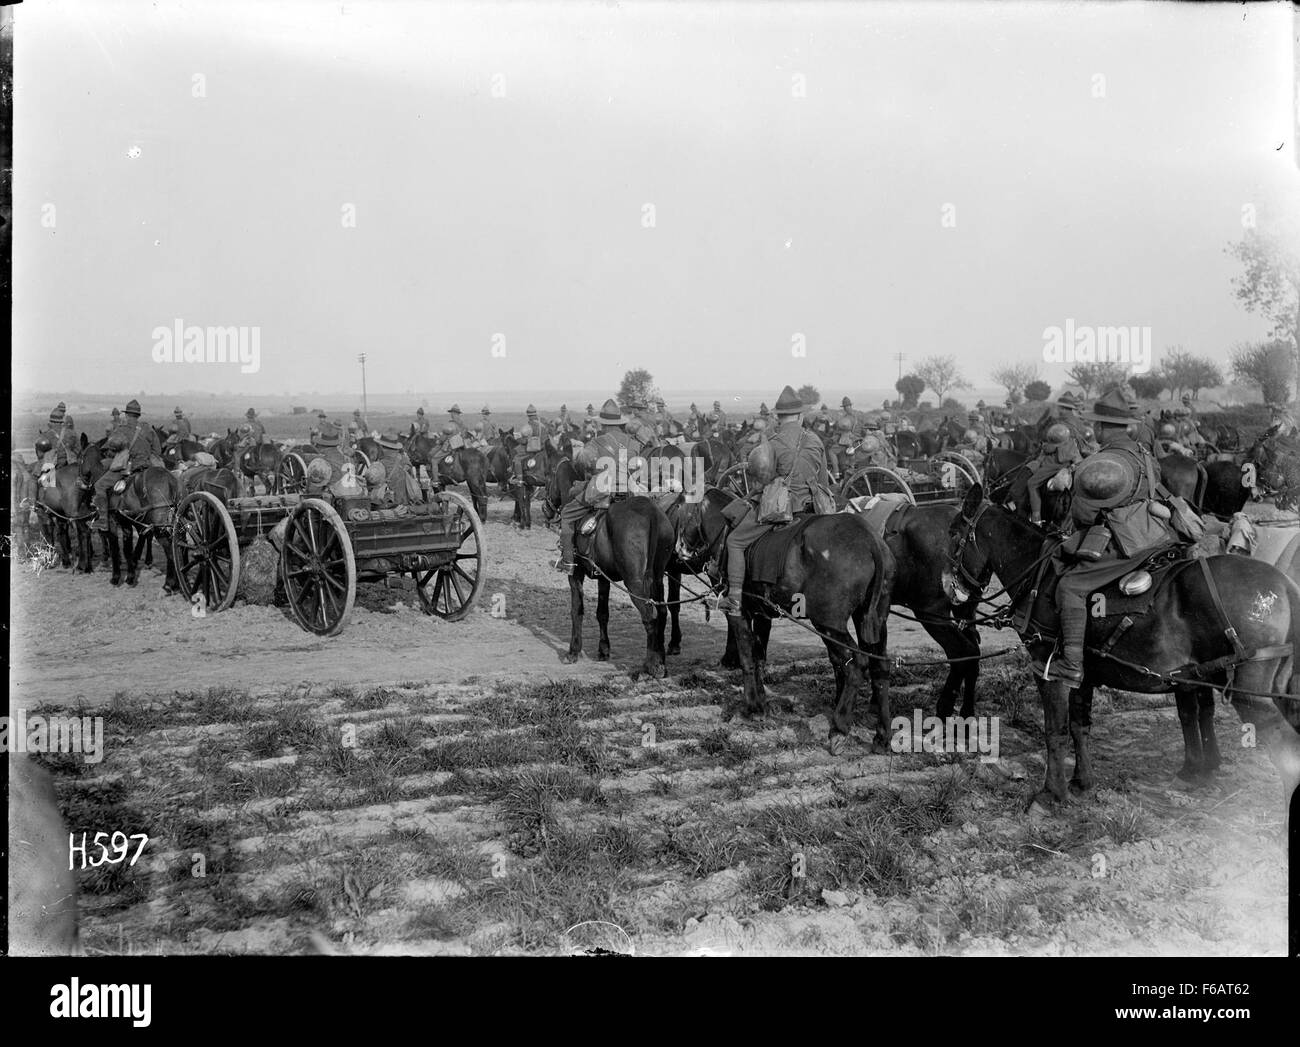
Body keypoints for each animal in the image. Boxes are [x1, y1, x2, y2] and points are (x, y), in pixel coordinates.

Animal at [543, 457, 676, 676]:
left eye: (549, 478)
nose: (545, 508)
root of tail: (652, 513)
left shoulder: (576, 575)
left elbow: (576, 610)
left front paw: (573, 651)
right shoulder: (603, 578)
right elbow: (602, 613)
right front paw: (603, 649)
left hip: (634, 583)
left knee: (650, 617)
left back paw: (649, 665)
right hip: (657, 579)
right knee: (662, 613)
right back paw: (660, 659)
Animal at [676, 489, 899, 743]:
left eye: (679, 506)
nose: (679, 547)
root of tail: (870, 540)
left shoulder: (738, 612)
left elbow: (747, 656)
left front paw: (751, 707)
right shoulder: (761, 614)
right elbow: (758, 656)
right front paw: (761, 701)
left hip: (828, 623)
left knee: (856, 663)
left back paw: (840, 725)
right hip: (872, 620)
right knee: (879, 665)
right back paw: (882, 734)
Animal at [946, 486, 1300, 811]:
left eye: (953, 534)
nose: (950, 592)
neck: (1039, 577)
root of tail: (1284, 585)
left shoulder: (1046, 670)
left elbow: (1054, 730)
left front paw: (1051, 795)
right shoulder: (1082, 676)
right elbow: (1079, 726)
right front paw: (1081, 782)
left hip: (1251, 696)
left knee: (1287, 750)